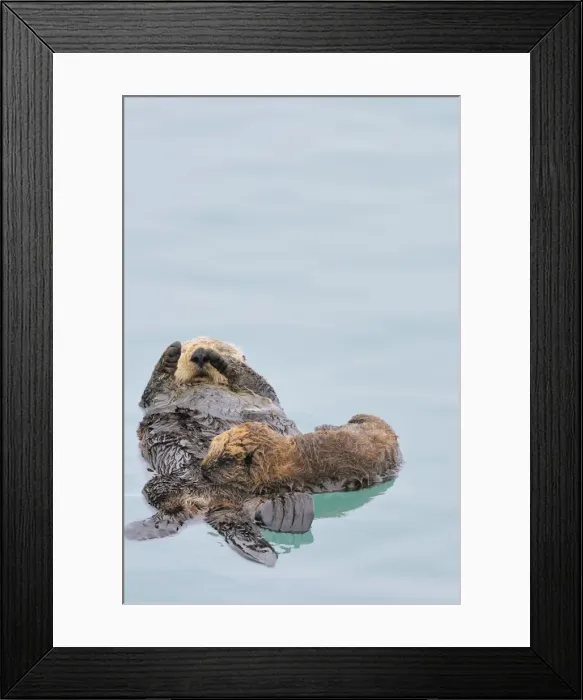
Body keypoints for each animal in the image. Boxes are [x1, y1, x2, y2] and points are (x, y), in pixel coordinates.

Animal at [124, 337, 314, 548]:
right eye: (186, 350)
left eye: (221, 347)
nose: (199, 354)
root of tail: (222, 502)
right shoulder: (154, 396)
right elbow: (154, 385)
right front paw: (170, 355)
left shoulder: (261, 392)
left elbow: (254, 379)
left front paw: (220, 360)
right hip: (165, 484)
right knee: (173, 508)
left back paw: (287, 510)